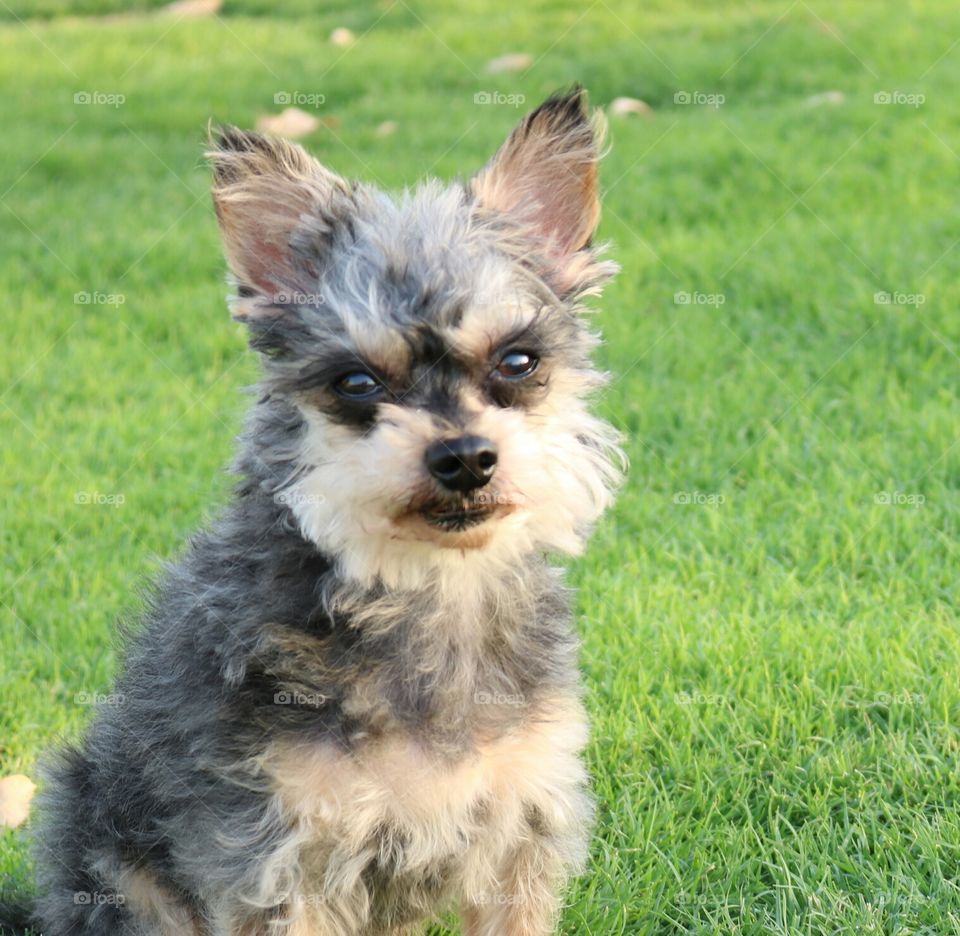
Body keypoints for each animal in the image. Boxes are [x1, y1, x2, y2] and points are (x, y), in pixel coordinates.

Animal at [28, 86, 624, 936]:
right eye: (357, 383)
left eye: (518, 362)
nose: (464, 457)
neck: (423, 592)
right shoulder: (280, 856)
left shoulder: (519, 830)